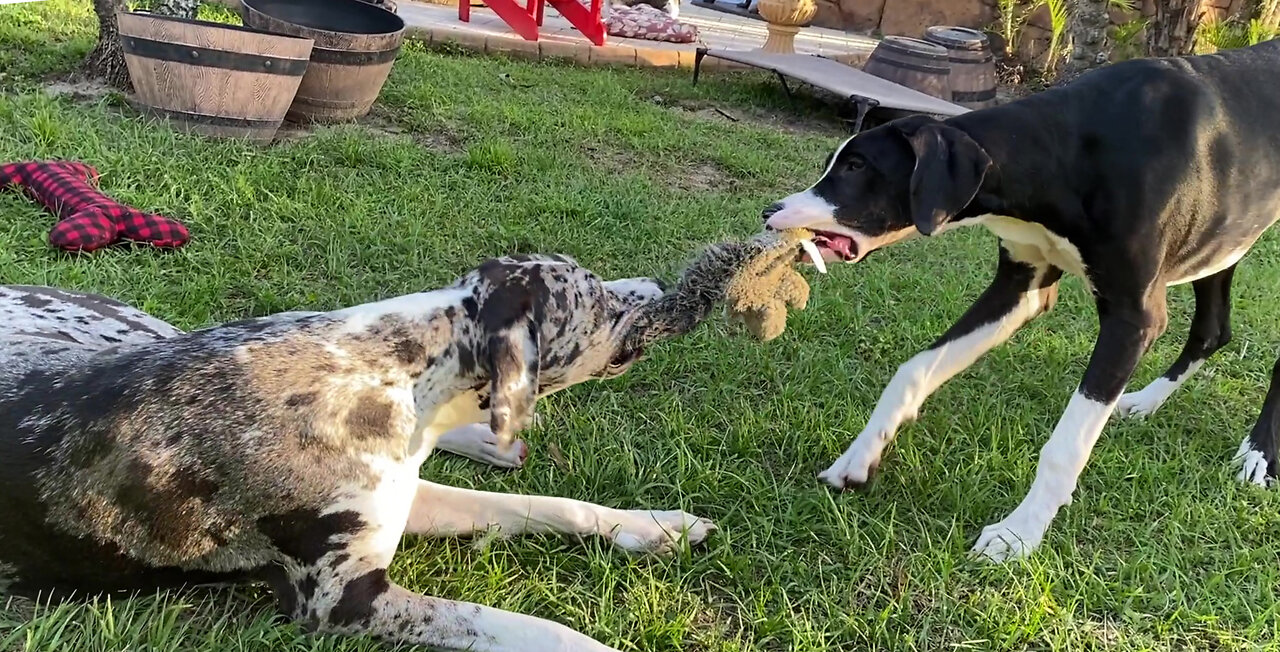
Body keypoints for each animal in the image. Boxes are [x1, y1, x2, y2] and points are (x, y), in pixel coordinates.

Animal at [0, 252, 721, 650]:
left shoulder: (410, 495)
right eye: (595, 297)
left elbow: (543, 504)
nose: (657, 287)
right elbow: (530, 628)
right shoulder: (344, 601)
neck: (390, 372)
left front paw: (653, 527)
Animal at [762, 39, 1280, 558]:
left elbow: (1066, 446)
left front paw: (1017, 534)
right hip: (1223, 242)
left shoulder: (1134, 318)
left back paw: (1258, 455)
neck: (1067, 151)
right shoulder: (1020, 286)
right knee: (1213, 330)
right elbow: (913, 369)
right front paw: (860, 455)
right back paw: (1148, 402)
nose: (770, 210)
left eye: (856, 167)